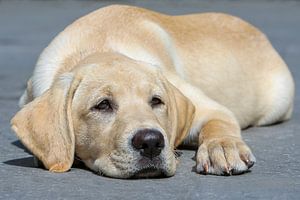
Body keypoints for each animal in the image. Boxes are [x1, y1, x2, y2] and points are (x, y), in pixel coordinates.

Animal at [11, 4, 292, 178]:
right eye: (102, 105)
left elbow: (219, 125)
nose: (150, 142)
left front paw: (222, 147)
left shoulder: (212, 108)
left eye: (157, 101)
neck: (94, 46)